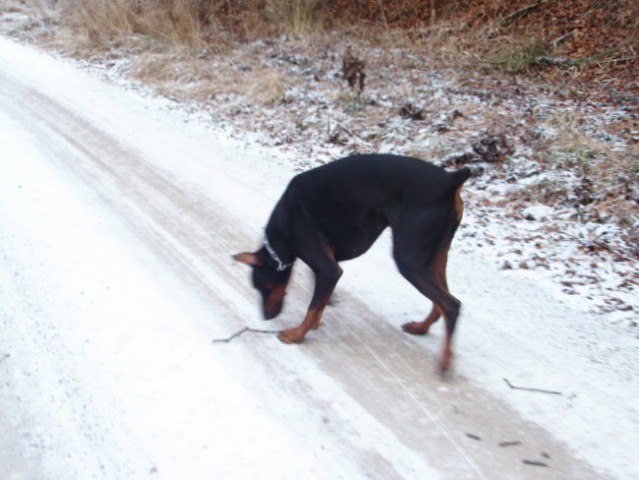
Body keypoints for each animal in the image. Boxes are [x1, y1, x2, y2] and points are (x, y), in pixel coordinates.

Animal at [234, 154, 470, 372]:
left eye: (266, 286)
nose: (266, 317)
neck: (284, 226)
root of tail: (451, 179)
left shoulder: (328, 268)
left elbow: (313, 306)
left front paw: (297, 334)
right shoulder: (328, 266)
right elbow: (320, 300)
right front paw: (315, 322)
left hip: (409, 258)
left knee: (451, 305)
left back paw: (444, 363)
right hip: (434, 254)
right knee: (441, 301)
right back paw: (421, 328)